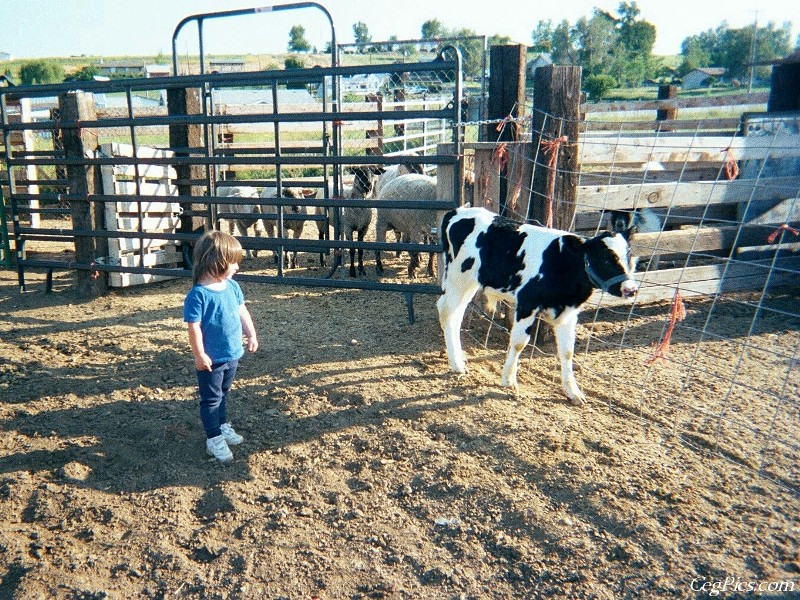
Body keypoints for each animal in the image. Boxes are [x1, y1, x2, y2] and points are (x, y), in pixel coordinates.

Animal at [438, 205, 636, 404]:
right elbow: (519, 342)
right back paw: (457, 364)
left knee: (456, 315)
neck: (561, 263)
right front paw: (508, 379)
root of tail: (457, 211)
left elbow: (567, 351)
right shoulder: (527, 303)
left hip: (469, 284)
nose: (631, 289)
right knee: (447, 312)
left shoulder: (568, 314)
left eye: (629, 255)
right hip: (458, 278)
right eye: (605, 258)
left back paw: (458, 359)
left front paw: (573, 392)